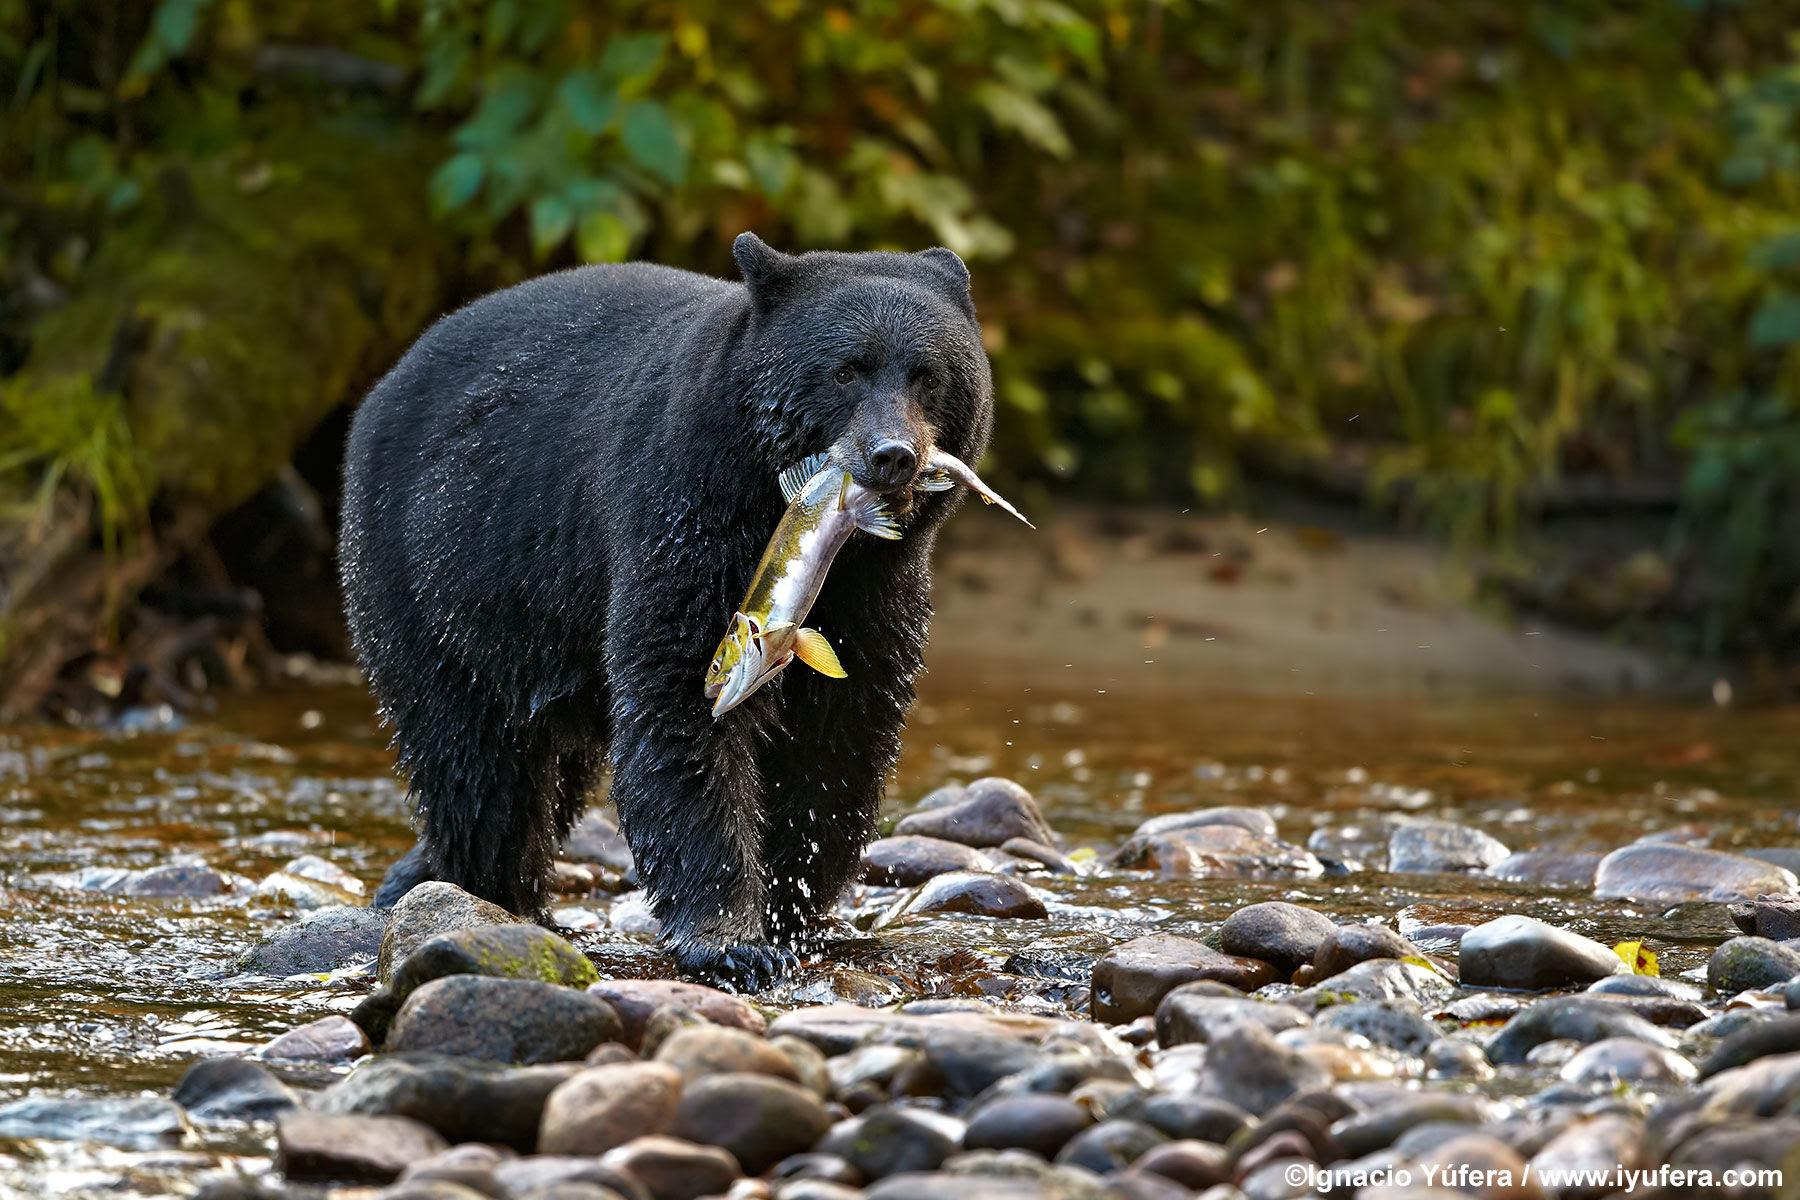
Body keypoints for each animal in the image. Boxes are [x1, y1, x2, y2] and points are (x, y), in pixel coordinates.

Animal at [338, 232, 993, 988]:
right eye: (844, 371)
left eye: (929, 375)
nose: (892, 455)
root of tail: (383, 387)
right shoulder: (684, 519)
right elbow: (680, 705)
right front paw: (732, 939)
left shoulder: (878, 594)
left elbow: (841, 734)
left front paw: (793, 909)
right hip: (432, 582)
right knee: (476, 764)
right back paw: (493, 896)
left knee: (550, 774)